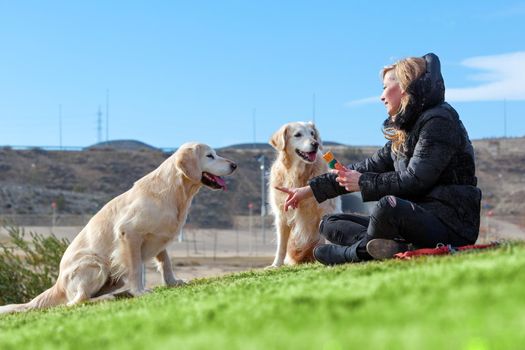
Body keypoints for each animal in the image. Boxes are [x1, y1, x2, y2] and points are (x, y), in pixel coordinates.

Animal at [0, 142, 236, 314]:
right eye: (210, 156)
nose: (234, 165)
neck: (174, 191)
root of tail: (58, 283)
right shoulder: (129, 233)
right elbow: (136, 268)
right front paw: (140, 291)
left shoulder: (158, 237)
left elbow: (165, 262)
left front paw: (173, 282)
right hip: (96, 265)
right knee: (77, 301)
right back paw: (110, 297)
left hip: (113, 274)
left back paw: (119, 294)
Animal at [268, 121, 342, 266]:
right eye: (298, 135)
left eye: (312, 134)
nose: (316, 144)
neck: (297, 173)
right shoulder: (281, 214)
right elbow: (281, 245)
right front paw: (276, 265)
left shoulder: (326, 209)